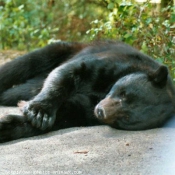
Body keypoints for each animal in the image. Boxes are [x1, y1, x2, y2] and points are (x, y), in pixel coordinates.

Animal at [0, 40, 175, 143]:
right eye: (123, 94)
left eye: (125, 118)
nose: (101, 111)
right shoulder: (112, 63)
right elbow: (70, 72)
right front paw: (39, 112)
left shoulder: (88, 110)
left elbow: (68, 113)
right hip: (63, 51)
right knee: (24, 67)